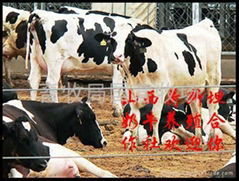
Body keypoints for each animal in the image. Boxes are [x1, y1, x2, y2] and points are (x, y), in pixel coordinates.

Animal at [94, 18, 222, 146]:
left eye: (129, 39)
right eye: (111, 39)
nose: (116, 56)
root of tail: (206, 23)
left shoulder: (160, 92)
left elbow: (155, 117)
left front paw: (154, 142)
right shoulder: (132, 93)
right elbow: (135, 119)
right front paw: (132, 143)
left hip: (213, 82)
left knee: (213, 109)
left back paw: (211, 140)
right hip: (193, 90)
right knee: (196, 114)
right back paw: (198, 140)